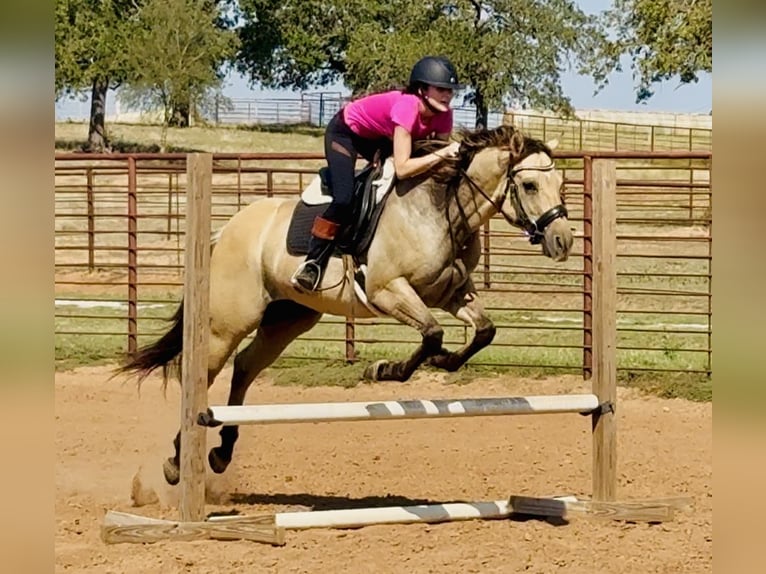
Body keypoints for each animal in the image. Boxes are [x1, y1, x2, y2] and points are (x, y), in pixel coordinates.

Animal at [119, 124, 573, 485]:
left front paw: (444, 362)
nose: (563, 242)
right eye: (529, 186)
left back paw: (222, 451)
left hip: (289, 317)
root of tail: (224, 231)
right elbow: (431, 333)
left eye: (562, 185)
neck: (441, 208)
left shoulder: (449, 294)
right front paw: (385, 370)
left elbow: (483, 331)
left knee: (245, 367)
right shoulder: (388, 290)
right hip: (225, 324)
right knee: (201, 375)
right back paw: (178, 462)